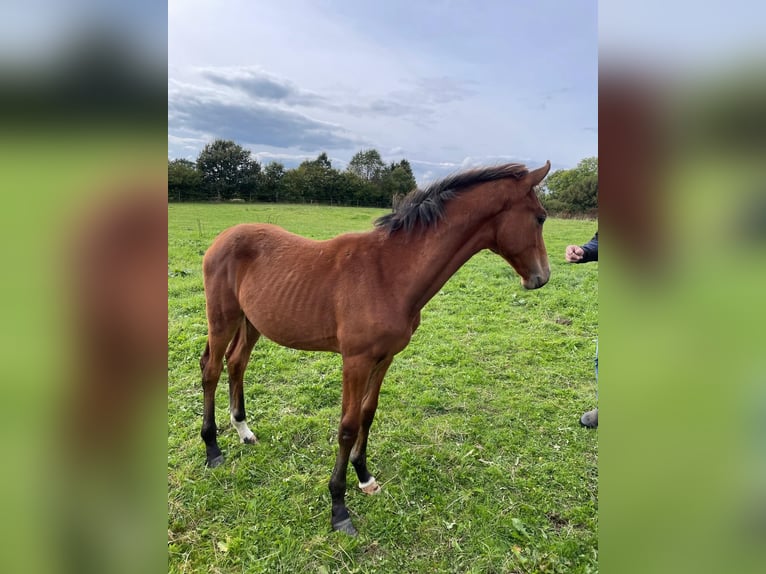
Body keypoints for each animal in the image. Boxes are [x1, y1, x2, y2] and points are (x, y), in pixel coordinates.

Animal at [201, 161, 552, 536]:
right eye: (540, 217)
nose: (541, 277)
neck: (389, 273)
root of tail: (222, 237)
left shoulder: (385, 358)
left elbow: (368, 414)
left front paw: (364, 476)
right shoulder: (355, 361)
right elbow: (347, 425)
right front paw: (339, 507)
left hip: (252, 321)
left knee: (237, 362)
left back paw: (244, 431)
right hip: (222, 319)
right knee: (211, 369)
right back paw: (212, 449)